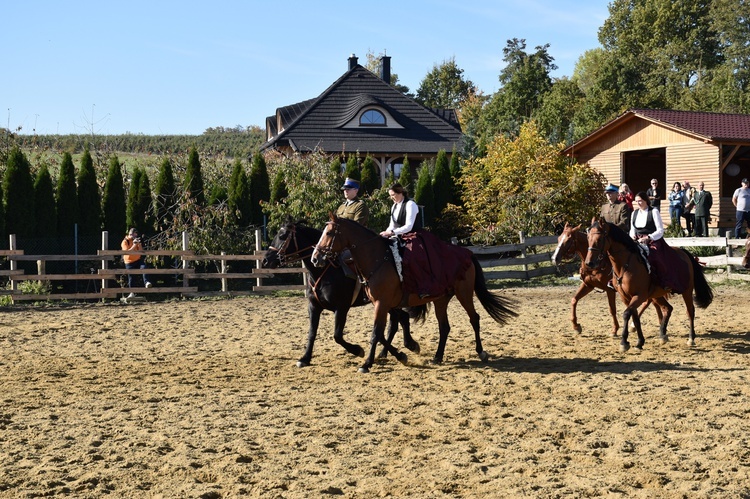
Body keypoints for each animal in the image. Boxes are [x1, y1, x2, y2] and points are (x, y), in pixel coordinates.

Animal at [262, 221, 424, 370]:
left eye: (282, 236)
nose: (265, 260)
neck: (326, 271)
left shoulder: (341, 308)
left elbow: (337, 336)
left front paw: (358, 350)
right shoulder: (314, 307)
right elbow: (312, 333)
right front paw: (305, 358)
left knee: (396, 322)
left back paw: (402, 349)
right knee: (400, 319)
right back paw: (397, 349)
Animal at [310, 217, 516, 374]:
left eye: (329, 233)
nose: (315, 258)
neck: (378, 260)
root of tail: (467, 254)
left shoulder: (380, 304)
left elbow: (376, 333)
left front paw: (367, 363)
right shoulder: (383, 304)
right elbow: (384, 330)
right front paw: (400, 353)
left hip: (464, 294)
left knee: (474, 319)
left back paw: (481, 352)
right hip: (441, 299)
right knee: (444, 327)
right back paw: (437, 357)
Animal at [584, 218, 712, 352]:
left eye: (599, 239)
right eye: (588, 238)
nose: (589, 263)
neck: (626, 266)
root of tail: (684, 252)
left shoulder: (639, 296)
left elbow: (626, 314)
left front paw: (624, 342)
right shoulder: (626, 298)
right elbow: (634, 317)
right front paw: (640, 342)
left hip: (687, 290)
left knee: (690, 311)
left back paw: (691, 338)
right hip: (657, 295)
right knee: (668, 308)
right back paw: (663, 335)